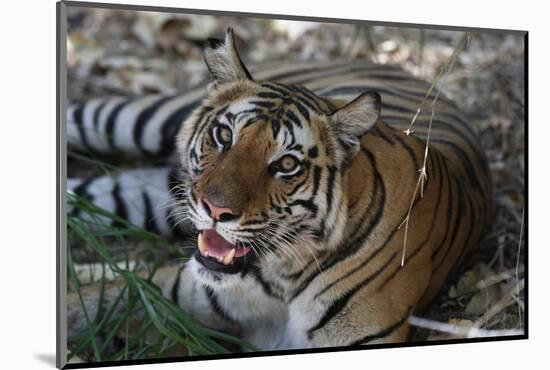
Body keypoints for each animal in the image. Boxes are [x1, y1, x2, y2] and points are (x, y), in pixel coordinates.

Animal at [67, 28, 494, 350]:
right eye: (224, 136)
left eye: (286, 164)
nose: (214, 210)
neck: (280, 277)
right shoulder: (163, 290)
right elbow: (87, 305)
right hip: (145, 119)